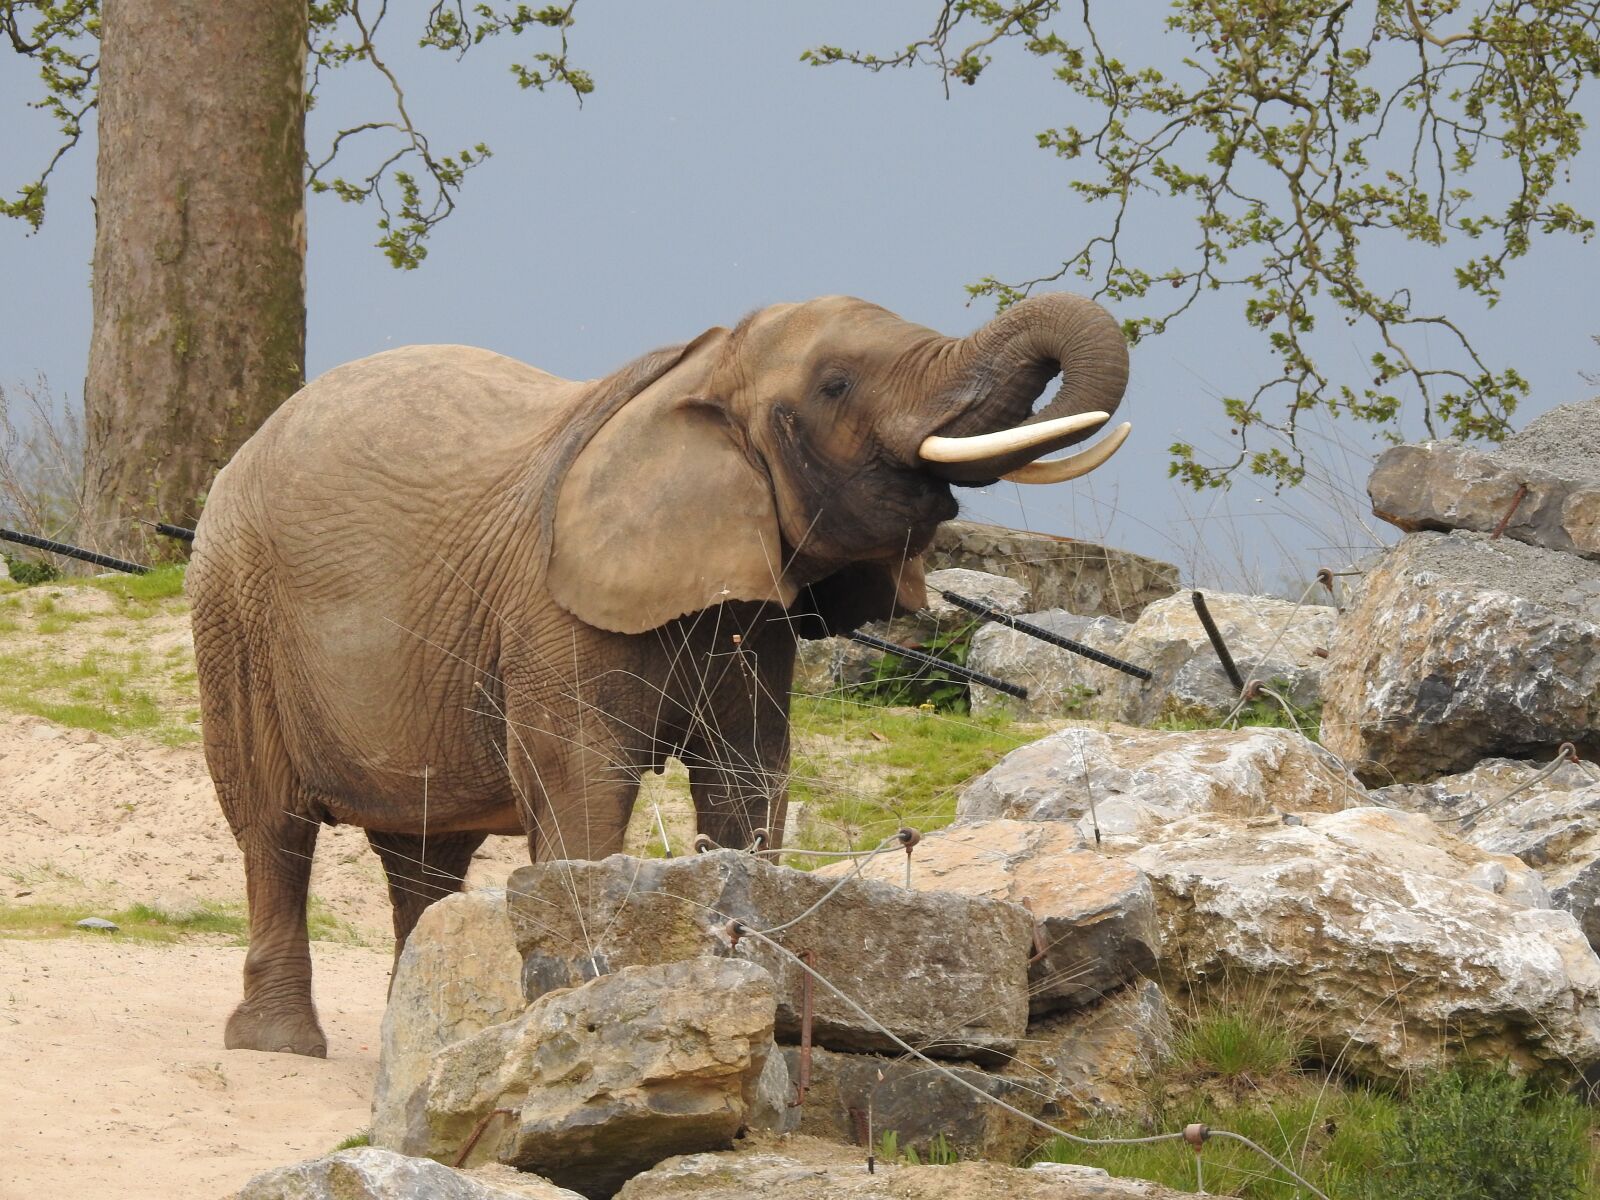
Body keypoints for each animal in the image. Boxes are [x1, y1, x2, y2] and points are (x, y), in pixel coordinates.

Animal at [186, 292, 1131, 1056]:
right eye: (835, 386)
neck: (696, 376)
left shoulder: (755, 613)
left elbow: (749, 778)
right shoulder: (552, 613)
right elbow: (580, 781)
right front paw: (575, 1011)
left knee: (421, 853)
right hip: (234, 611)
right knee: (273, 825)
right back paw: (278, 1045)